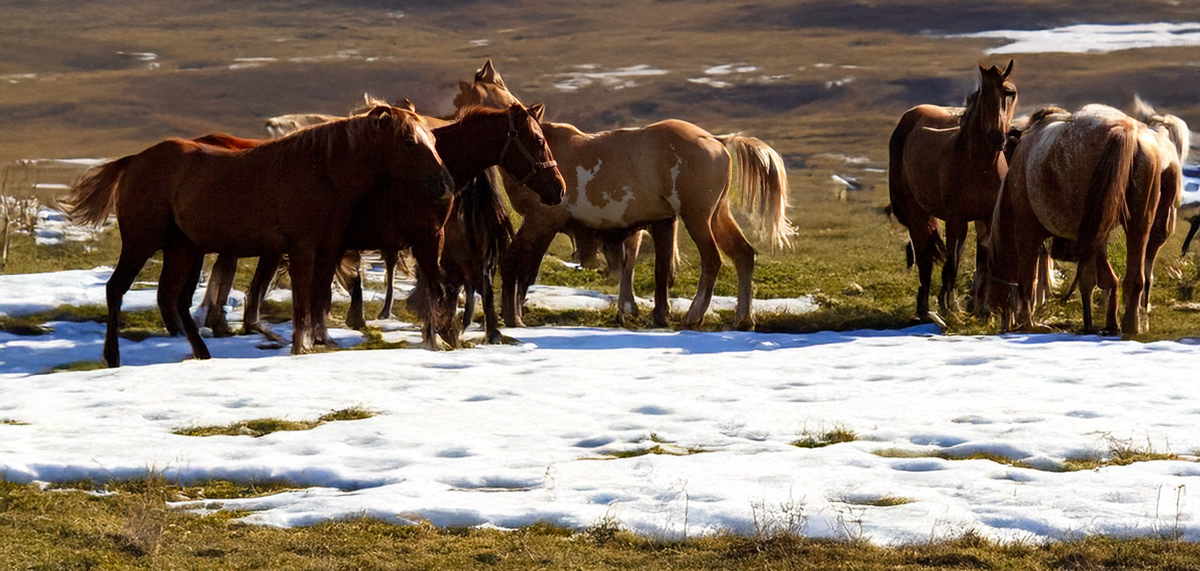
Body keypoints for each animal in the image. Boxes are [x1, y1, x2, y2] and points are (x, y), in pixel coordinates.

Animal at [60, 105, 455, 365]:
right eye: (408, 142)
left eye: (433, 139)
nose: (445, 185)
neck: (322, 170)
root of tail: (134, 160)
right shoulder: (301, 248)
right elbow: (302, 301)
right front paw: (300, 346)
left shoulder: (328, 249)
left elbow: (317, 299)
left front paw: (320, 342)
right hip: (142, 242)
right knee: (117, 289)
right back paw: (113, 356)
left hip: (183, 247)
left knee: (174, 297)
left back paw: (201, 352)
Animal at [457, 60, 794, 331]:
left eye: (462, 96)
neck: (539, 147)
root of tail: (715, 139)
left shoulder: (541, 222)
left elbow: (520, 267)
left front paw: (512, 316)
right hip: (717, 214)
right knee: (743, 254)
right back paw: (743, 318)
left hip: (697, 218)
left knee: (712, 260)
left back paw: (694, 316)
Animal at [888, 61, 1017, 324]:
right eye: (983, 93)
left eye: (1009, 93)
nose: (996, 137)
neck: (979, 166)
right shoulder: (957, 220)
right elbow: (952, 264)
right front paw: (950, 308)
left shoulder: (987, 219)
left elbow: (984, 263)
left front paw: (982, 311)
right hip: (917, 215)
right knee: (925, 259)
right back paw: (924, 310)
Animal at [982, 104, 1180, 335]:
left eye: (990, 266)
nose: (990, 308)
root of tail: (1124, 129)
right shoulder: (1097, 235)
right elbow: (1101, 278)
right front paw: (1106, 321)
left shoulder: (1026, 230)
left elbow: (1028, 281)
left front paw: (1027, 323)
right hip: (1137, 223)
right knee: (1135, 277)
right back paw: (1131, 324)